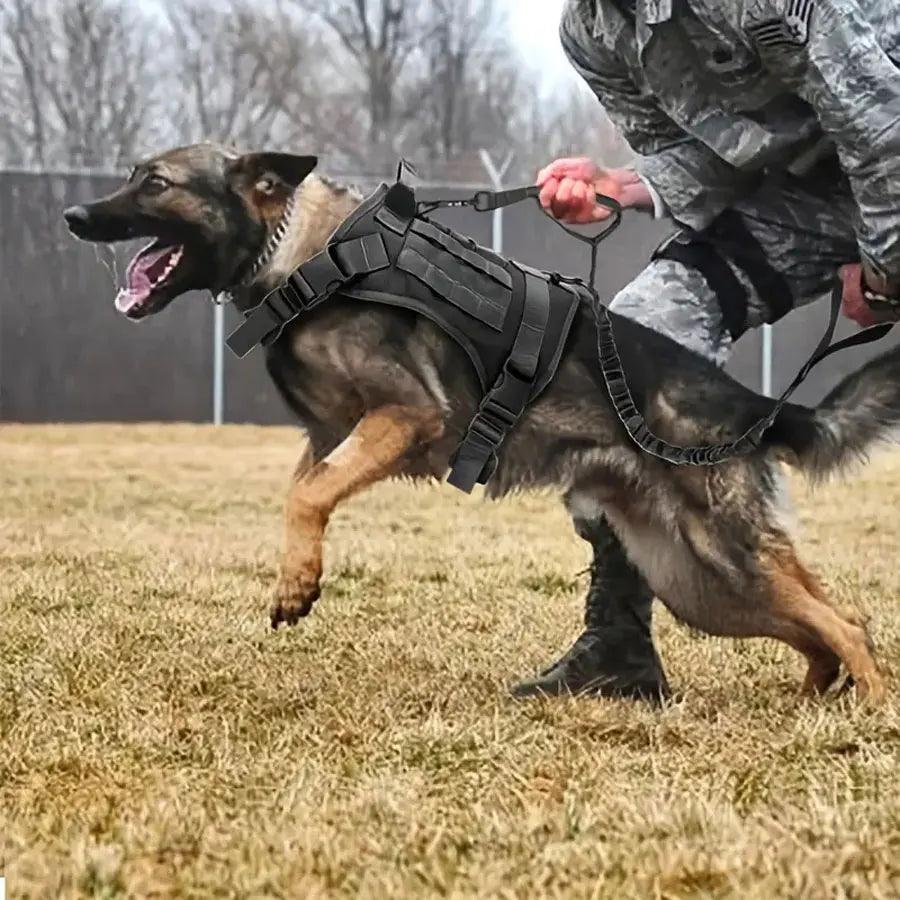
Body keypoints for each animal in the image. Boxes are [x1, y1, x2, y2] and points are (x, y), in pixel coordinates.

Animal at [63, 142, 900, 704]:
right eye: (135, 174)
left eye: (156, 183)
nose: (73, 215)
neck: (307, 254)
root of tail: (748, 405)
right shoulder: (331, 440)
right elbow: (305, 493)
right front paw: (296, 576)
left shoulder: (405, 414)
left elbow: (307, 495)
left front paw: (299, 583)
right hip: (699, 583)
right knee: (823, 621)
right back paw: (815, 693)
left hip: (725, 557)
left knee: (847, 622)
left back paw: (866, 708)